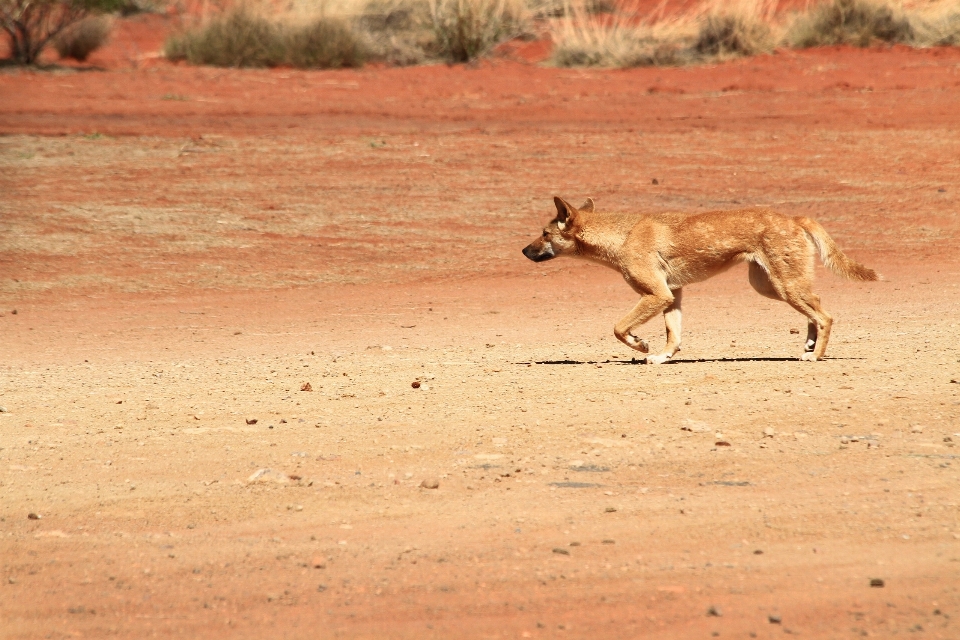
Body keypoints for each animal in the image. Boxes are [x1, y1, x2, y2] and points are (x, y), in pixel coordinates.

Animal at [524, 198, 876, 362]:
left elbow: (618, 328)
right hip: (770, 286)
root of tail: (793, 217)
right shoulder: (671, 295)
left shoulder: (656, 295)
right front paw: (663, 357)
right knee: (815, 308)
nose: (524, 250)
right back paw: (810, 345)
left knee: (824, 314)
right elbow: (674, 335)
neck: (621, 236)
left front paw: (641, 345)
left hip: (783, 285)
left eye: (544, 234)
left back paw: (816, 355)